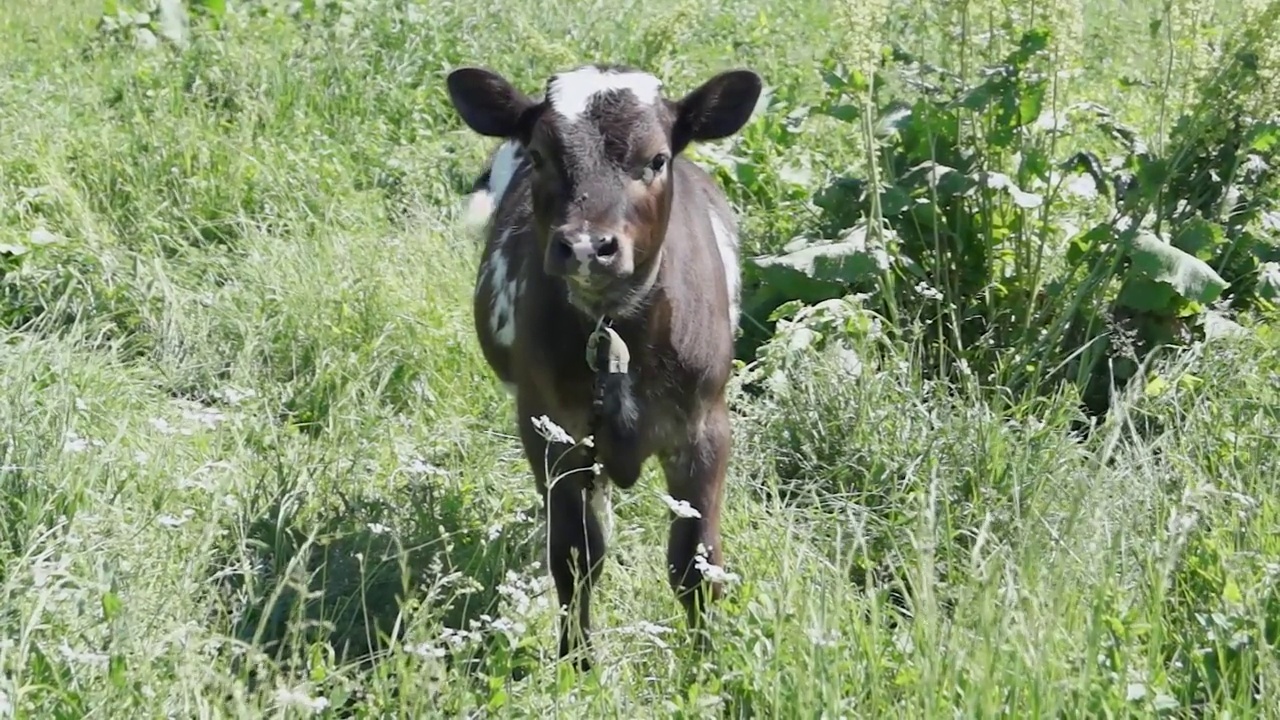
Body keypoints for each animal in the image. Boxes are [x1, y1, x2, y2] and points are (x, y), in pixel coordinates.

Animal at [448, 61, 757, 666]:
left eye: (656, 159)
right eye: (540, 155)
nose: (589, 247)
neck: (613, 327)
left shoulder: (705, 426)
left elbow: (697, 562)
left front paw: (707, 663)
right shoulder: (551, 429)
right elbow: (575, 554)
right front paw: (577, 662)